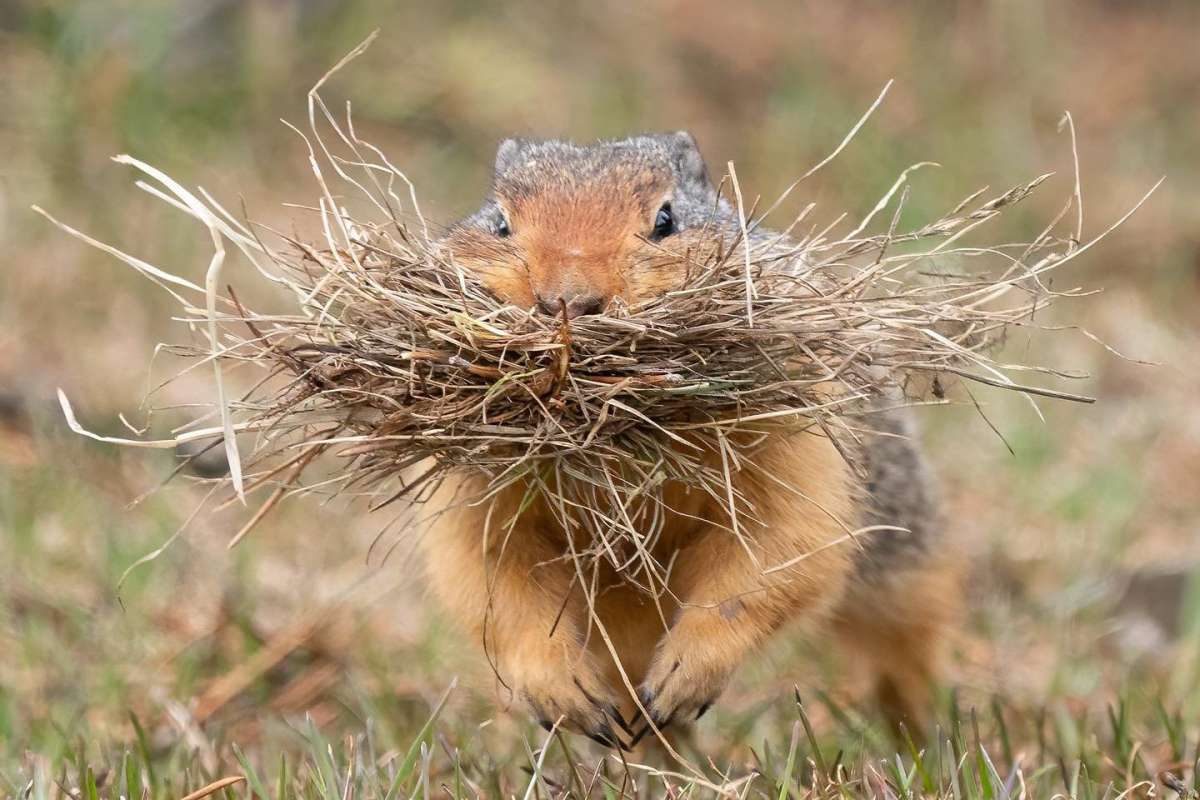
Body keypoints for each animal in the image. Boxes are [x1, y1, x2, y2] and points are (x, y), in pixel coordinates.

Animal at [424, 132, 962, 750]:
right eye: (500, 224)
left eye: (666, 219)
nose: (569, 300)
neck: (617, 442)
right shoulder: (472, 498)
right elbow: (495, 583)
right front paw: (562, 693)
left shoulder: (799, 457)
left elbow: (773, 558)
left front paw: (685, 675)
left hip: (903, 559)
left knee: (905, 646)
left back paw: (923, 731)